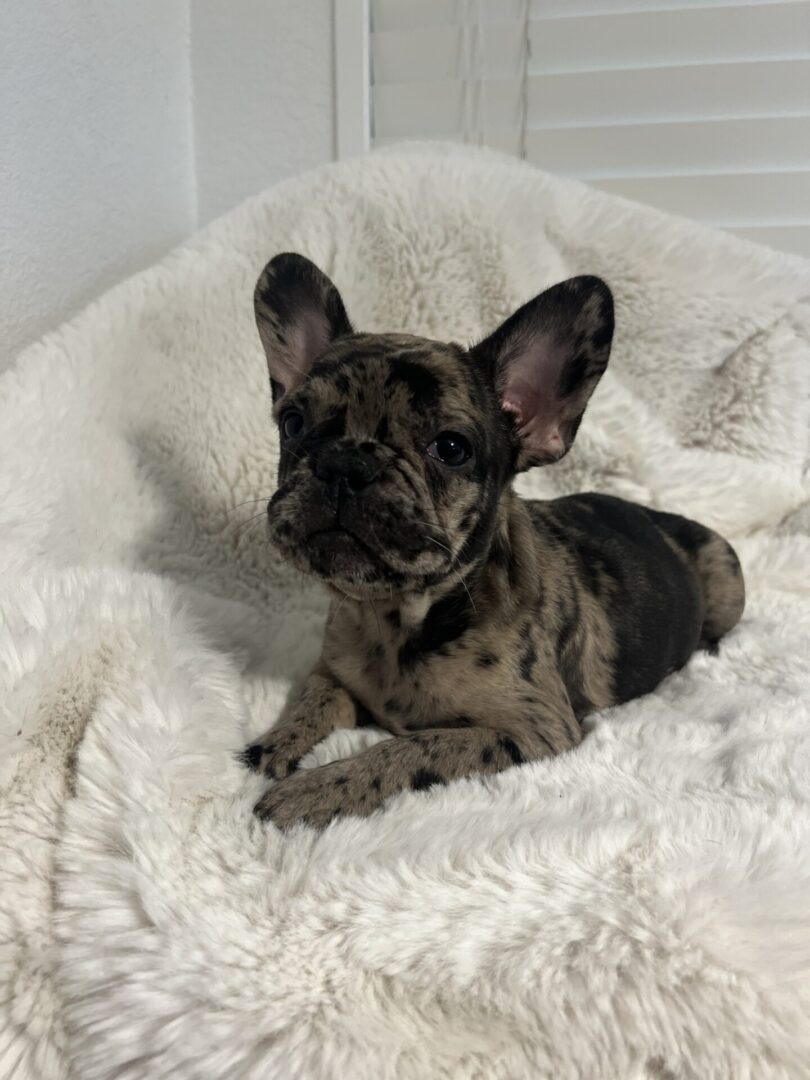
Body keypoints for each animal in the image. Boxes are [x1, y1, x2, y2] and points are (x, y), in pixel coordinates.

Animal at [244, 252, 747, 825]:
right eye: (292, 422)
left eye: (451, 448)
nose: (344, 465)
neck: (396, 620)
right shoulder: (334, 671)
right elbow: (313, 699)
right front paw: (275, 743)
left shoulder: (534, 729)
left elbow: (407, 748)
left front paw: (317, 788)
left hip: (725, 572)